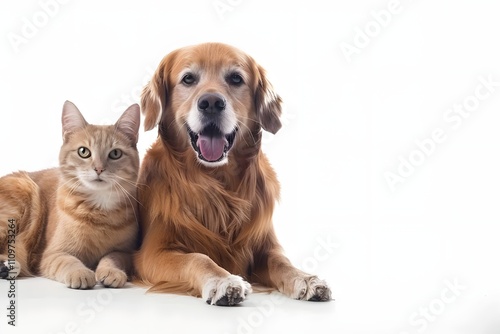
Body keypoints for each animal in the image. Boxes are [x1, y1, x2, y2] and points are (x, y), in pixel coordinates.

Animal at [0, 100, 141, 288]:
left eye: (115, 153)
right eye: (84, 151)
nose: (99, 169)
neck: (98, 210)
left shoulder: (126, 252)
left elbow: (112, 257)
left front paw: (111, 271)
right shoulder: (54, 253)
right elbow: (69, 261)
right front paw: (80, 272)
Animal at [134, 41, 332, 306]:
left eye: (236, 78)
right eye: (188, 79)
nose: (211, 103)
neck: (216, 180)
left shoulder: (264, 245)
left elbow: (282, 261)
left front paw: (307, 278)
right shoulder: (151, 253)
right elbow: (198, 258)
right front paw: (222, 280)